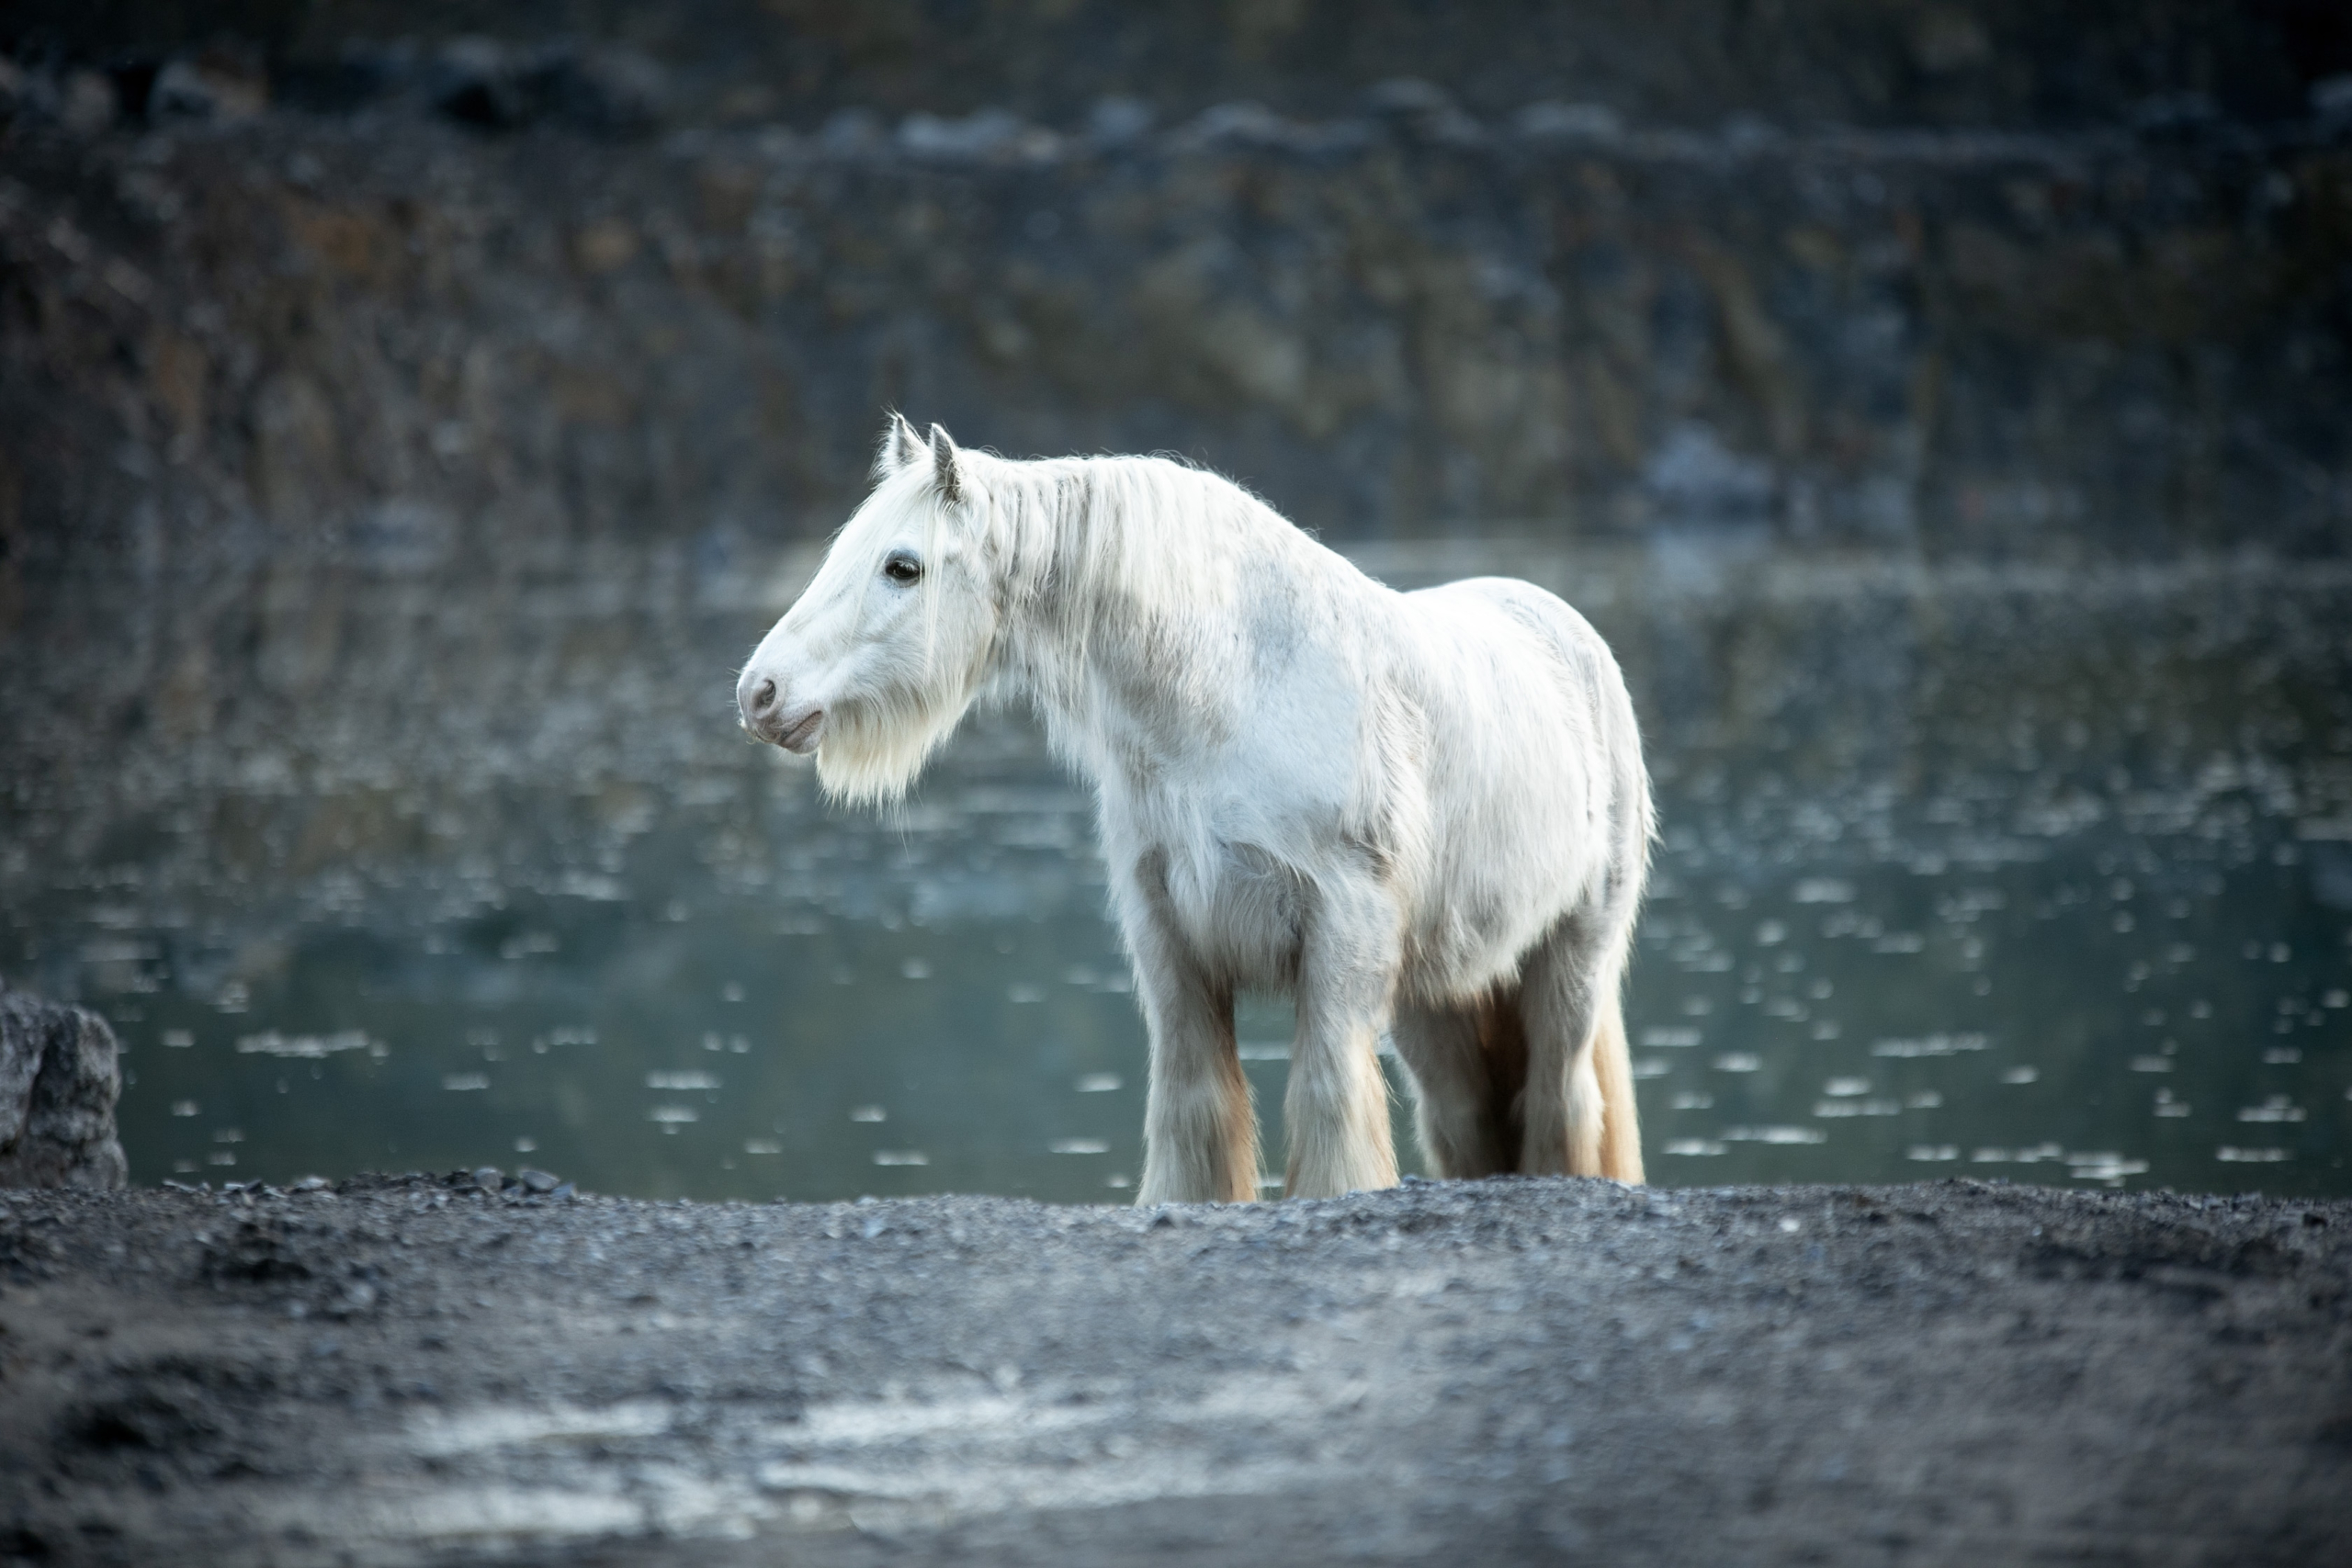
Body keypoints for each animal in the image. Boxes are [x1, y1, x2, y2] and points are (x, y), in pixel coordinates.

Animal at [738, 415, 1656, 1203]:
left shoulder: (1343, 934)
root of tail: (1566, 630)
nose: (760, 693)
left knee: (1559, 1098)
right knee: (1467, 1116)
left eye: (903, 566)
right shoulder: (1168, 937)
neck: (1233, 692)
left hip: (1571, 962)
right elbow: (1194, 1105)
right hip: (1439, 996)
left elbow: (1327, 1099)